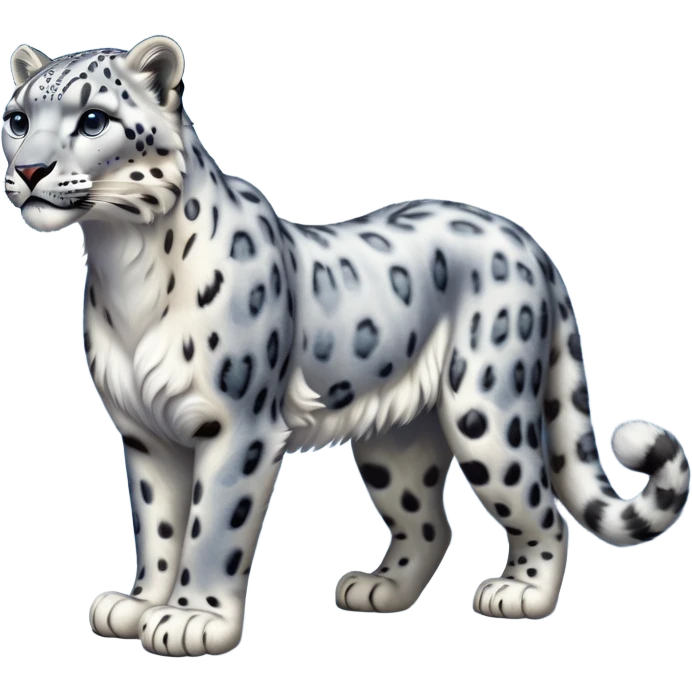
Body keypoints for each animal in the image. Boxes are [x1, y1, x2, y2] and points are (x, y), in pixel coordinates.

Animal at [3, 35, 689, 657]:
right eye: (18, 120)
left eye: (94, 119)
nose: (28, 171)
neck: (125, 265)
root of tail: (527, 240)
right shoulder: (146, 431)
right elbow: (157, 522)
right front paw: (140, 603)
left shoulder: (237, 427)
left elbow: (211, 524)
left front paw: (193, 619)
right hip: (395, 442)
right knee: (429, 520)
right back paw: (378, 590)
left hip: (486, 412)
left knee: (542, 508)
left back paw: (519, 594)